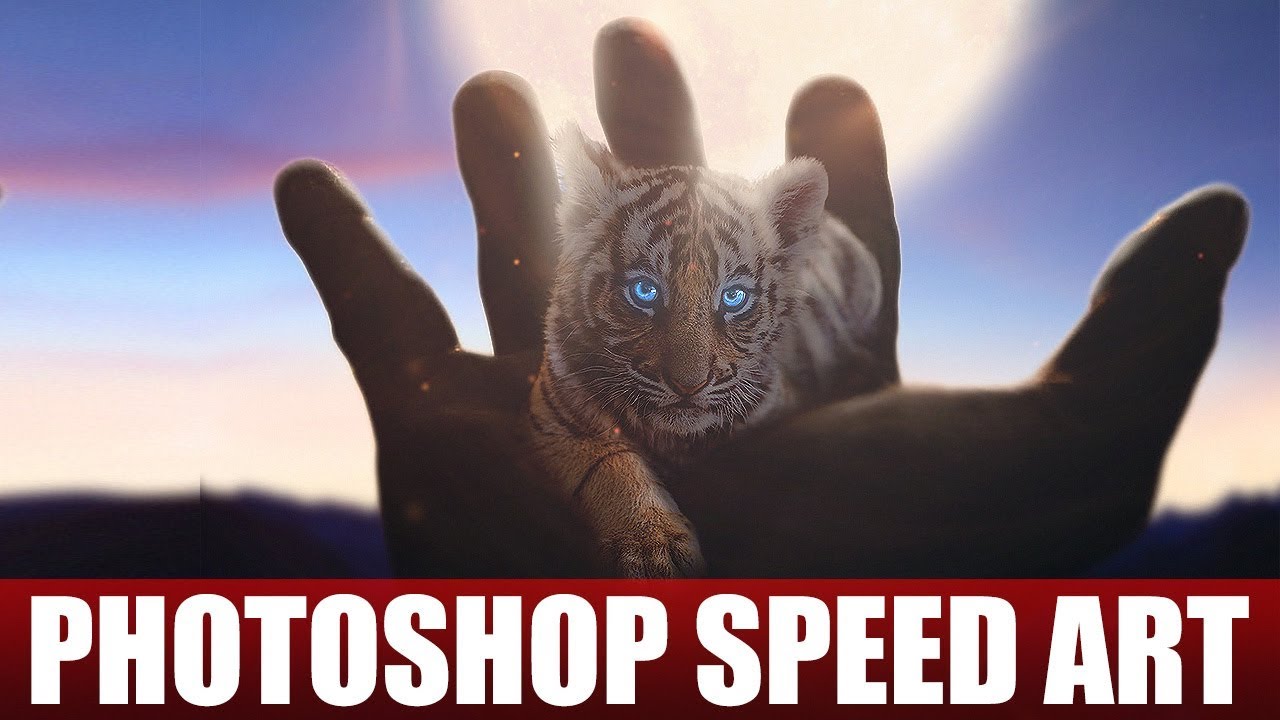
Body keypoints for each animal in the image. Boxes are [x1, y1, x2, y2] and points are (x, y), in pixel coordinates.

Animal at [529, 124, 883, 577]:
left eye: (733, 297)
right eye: (644, 291)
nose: (689, 385)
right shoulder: (560, 418)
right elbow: (611, 468)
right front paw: (652, 549)